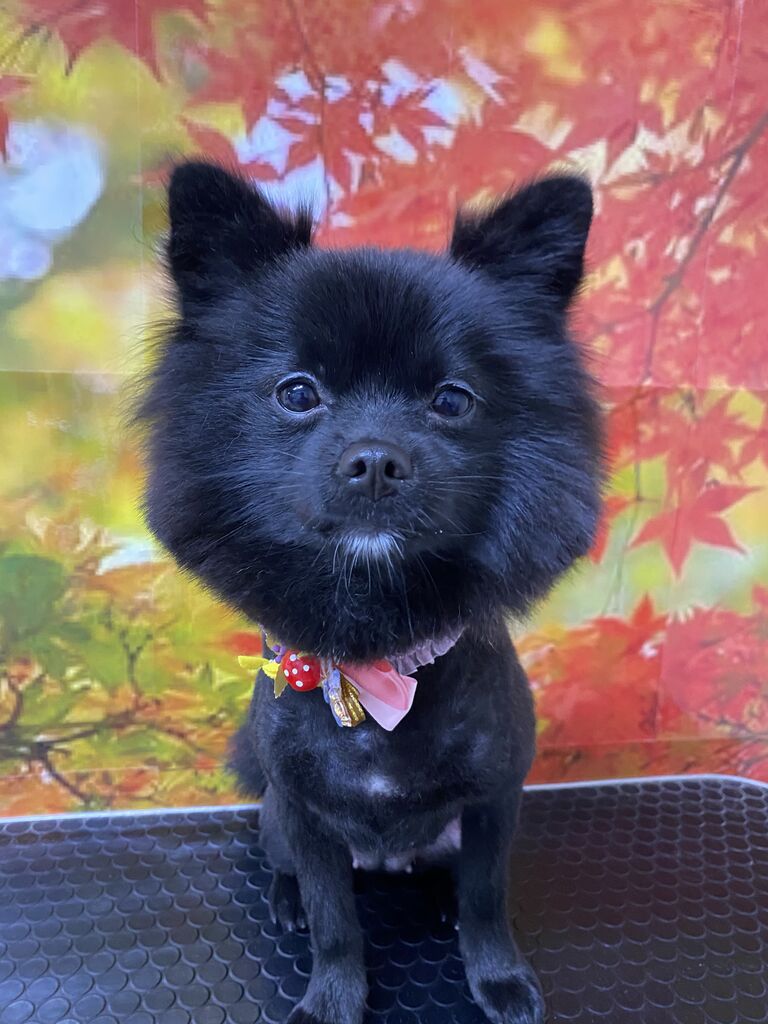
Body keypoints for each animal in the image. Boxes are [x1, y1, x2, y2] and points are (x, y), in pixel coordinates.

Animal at [138, 160, 602, 1024]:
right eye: (297, 393)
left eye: (452, 401)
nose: (377, 460)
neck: (374, 665)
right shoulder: (306, 815)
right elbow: (335, 923)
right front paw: (330, 998)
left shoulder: (494, 801)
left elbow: (487, 902)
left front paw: (498, 980)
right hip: (275, 821)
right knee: (288, 870)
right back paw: (284, 899)